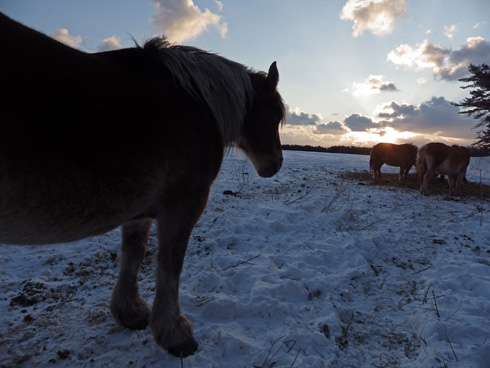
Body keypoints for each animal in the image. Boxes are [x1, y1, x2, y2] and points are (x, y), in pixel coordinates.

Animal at [0, 13, 286, 356]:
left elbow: (133, 254)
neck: (197, 101)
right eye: (275, 115)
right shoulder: (186, 200)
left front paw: (130, 312)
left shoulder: (140, 208)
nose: (276, 164)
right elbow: (171, 262)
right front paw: (175, 333)